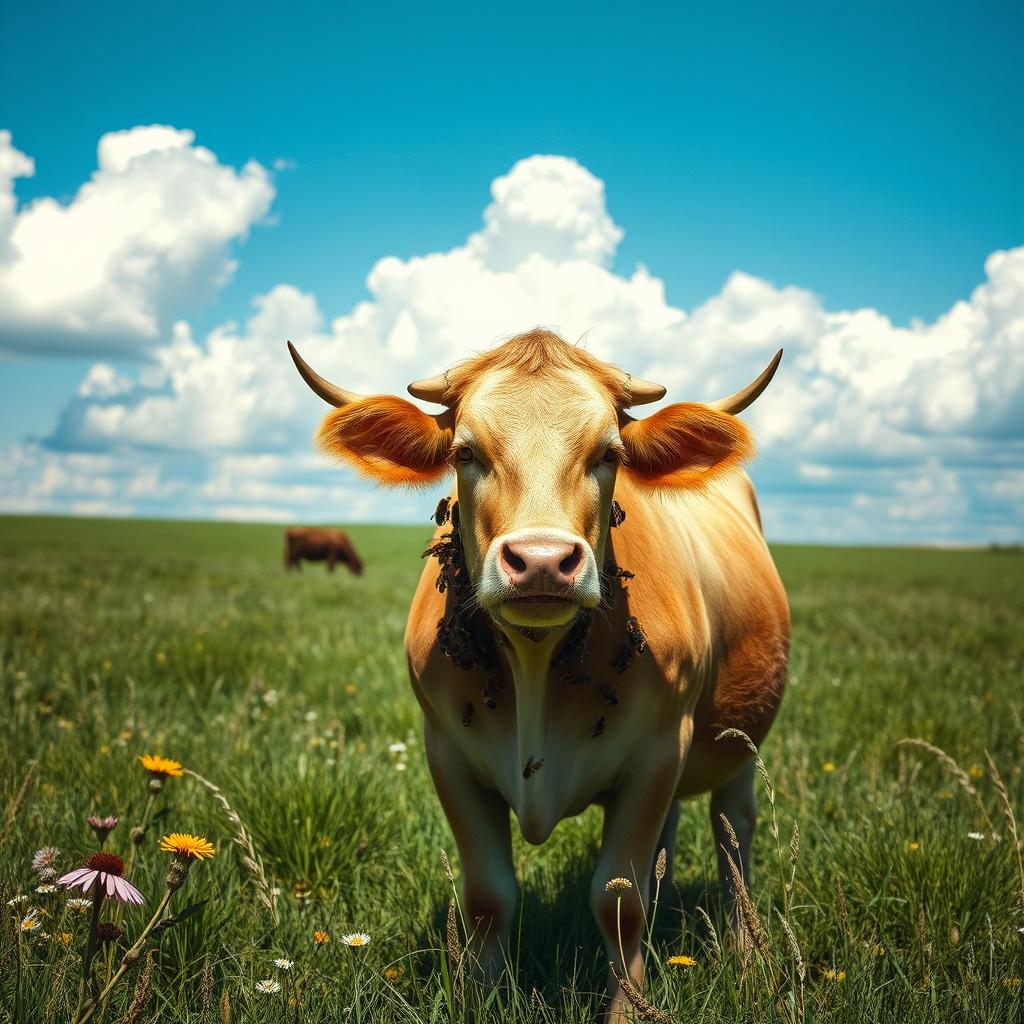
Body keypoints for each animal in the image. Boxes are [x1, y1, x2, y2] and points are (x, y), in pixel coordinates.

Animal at [288, 330, 788, 1021]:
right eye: (466, 452)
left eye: (609, 453)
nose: (543, 562)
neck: (536, 665)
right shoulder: (446, 751)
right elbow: (488, 897)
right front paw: (479, 995)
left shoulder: (661, 747)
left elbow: (619, 900)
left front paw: (628, 1007)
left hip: (738, 745)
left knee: (733, 835)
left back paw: (749, 956)